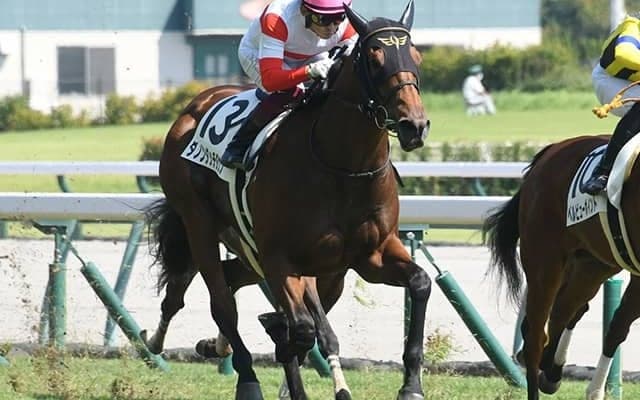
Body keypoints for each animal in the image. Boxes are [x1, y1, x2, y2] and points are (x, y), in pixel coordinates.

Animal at [145, 1, 431, 399]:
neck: (342, 167)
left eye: (415, 56)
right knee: (222, 302)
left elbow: (420, 283)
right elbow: (302, 329)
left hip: (287, 258)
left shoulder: (370, 255)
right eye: (375, 59)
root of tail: (195, 105)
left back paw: (213, 344)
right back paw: (245, 376)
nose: (414, 125)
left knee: (231, 283)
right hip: (199, 221)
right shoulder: (281, 258)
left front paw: (411, 385)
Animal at [483, 134, 640, 400]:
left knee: (565, 310)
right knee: (537, 335)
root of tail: (549, 152)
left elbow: (617, 327)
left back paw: (551, 370)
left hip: (593, 264)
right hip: (544, 261)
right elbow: (618, 325)